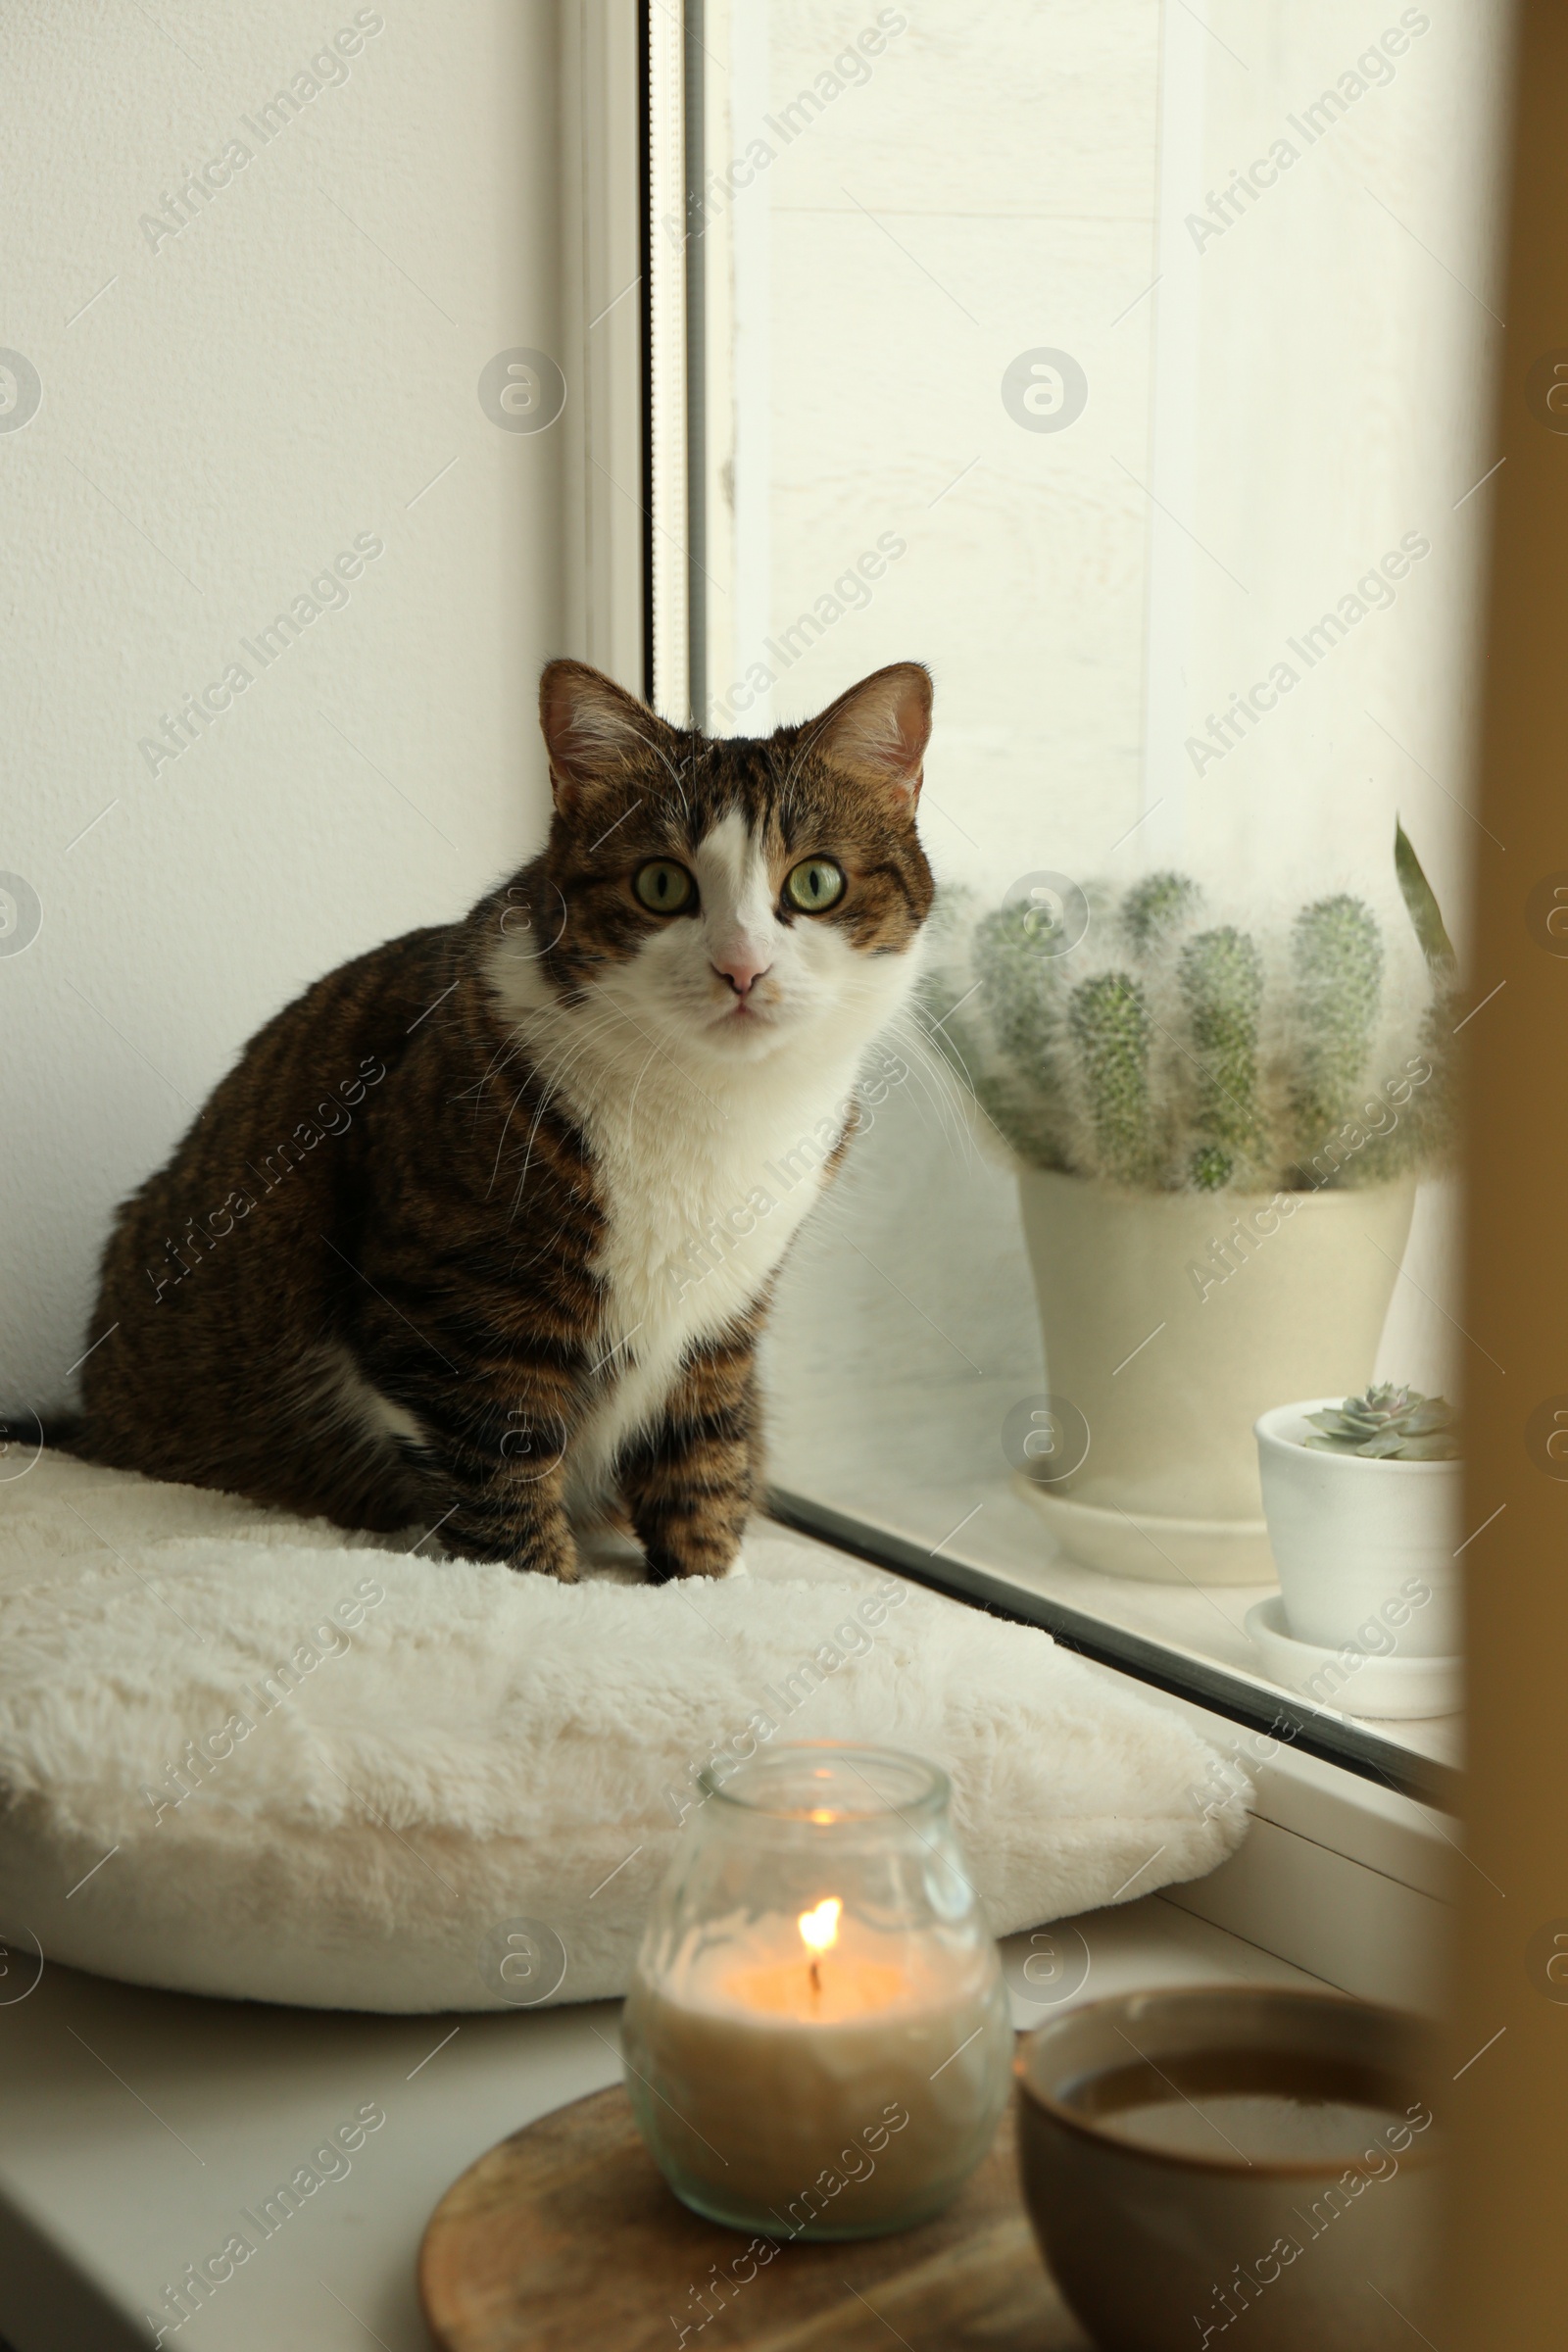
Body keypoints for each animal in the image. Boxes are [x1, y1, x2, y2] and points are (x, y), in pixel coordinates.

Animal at [64, 662, 930, 1580]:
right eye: (661, 884)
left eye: (816, 882)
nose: (742, 968)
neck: (711, 1105)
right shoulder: (451, 1309)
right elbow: (499, 1476)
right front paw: (548, 1583)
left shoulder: (724, 1317)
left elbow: (705, 1460)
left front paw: (703, 1586)